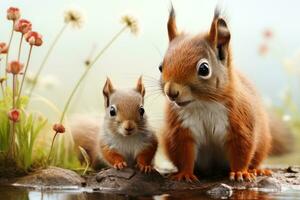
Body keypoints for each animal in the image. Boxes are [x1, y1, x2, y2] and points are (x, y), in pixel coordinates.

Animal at [159, 6, 292, 181]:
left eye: (204, 69)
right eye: (160, 67)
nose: (171, 92)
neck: (203, 104)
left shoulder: (240, 123)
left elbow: (241, 151)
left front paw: (240, 172)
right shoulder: (182, 130)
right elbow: (184, 154)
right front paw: (184, 174)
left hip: (262, 143)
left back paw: (257, 170)